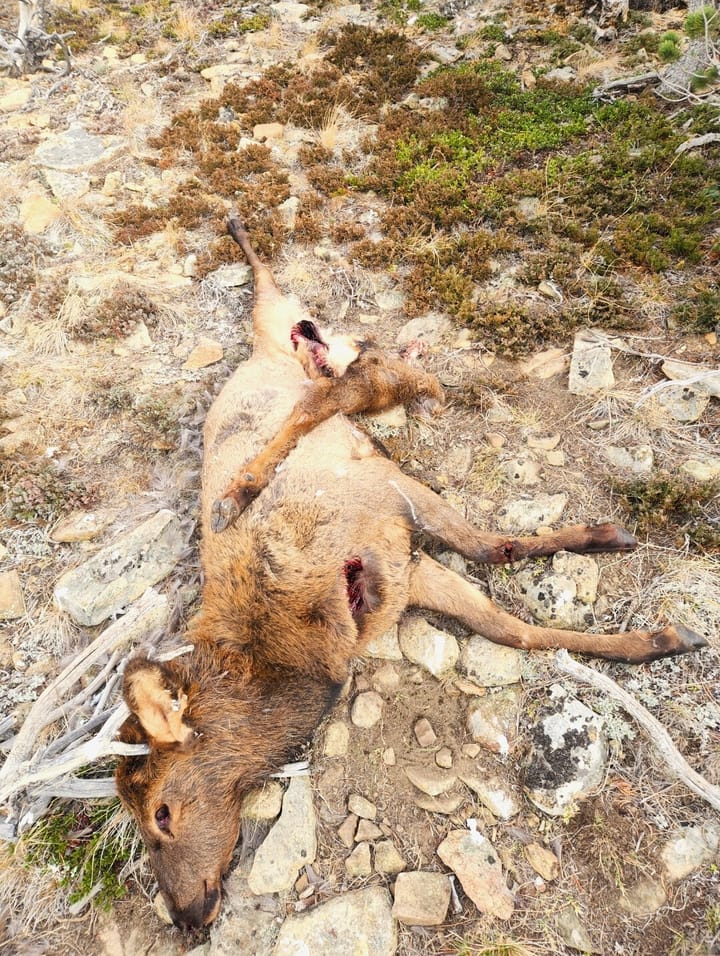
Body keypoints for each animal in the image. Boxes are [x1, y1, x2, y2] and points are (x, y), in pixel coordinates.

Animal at [115, 219, 706, 931]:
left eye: (162, 813)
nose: (184, 916)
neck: (296, 647)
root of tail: (265, 351)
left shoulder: (393, 508)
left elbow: (491, 557)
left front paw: (642, 614)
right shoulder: (408, 572)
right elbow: (513, 619)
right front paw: (648, 628)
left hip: (320, 354)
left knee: (317, 354)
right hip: (312, 350)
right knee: (319, 348)